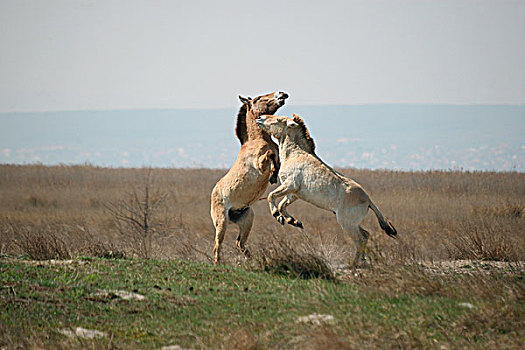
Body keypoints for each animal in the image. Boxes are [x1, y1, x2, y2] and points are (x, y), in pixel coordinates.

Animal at [211, 91, 288, 264]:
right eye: (258, 98)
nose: (282, 94)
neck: (258, 140)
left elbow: (277, 158)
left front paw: (274, 176)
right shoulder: (260, 164)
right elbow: (270, 154)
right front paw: (273, 176)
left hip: (247, 218)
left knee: (239, 243)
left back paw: (251, 261)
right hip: (222, 222)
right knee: (217, 245)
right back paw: (218, 265)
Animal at [255, 113, 398, 266]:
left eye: (279, 120)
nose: (260, 118)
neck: (295, 155)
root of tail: (368, 200)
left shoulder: (290, 185)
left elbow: (271, 196)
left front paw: (278, 217)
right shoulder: (293, 193)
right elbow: (282, 204)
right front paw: (294, 221)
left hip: (347, 224)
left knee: (359, 239)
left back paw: (354, 264)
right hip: (352, 223)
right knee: (365, 235)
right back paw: (362, 262)